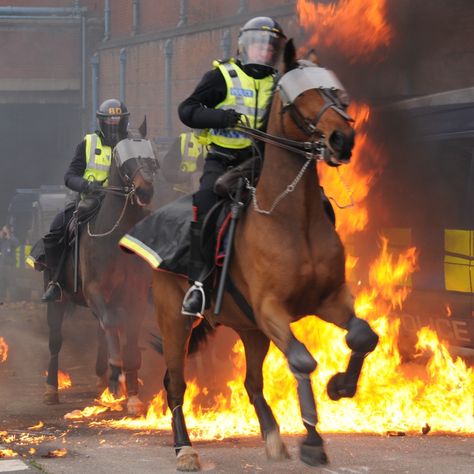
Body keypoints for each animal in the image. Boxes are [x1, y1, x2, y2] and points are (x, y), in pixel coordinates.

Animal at [42, 134, 157, 414]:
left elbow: (128, 335)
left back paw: (101, 380)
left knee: (101, 331)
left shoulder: (136, 295)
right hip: (58, 299)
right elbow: (112, 325)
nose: (145, 191)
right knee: (56, 340)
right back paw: (52, 390)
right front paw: (118, 374)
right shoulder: (95, 290)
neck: (117, 238)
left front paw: (132, 395)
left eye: (151, 155)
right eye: (123, 158)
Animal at [124, 41, 380, 470]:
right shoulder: (271, 308)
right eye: (302, 97)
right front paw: (312, 440)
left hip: (251, 330)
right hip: (177, 320)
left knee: (252, 382)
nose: (343, 139)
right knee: (175, 383)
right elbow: (302, 360)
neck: (292, 219)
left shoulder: (329, 300)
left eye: (337, 93)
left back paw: (273, 437)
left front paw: (340, 386)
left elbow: (364, 335)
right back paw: (185, 448)